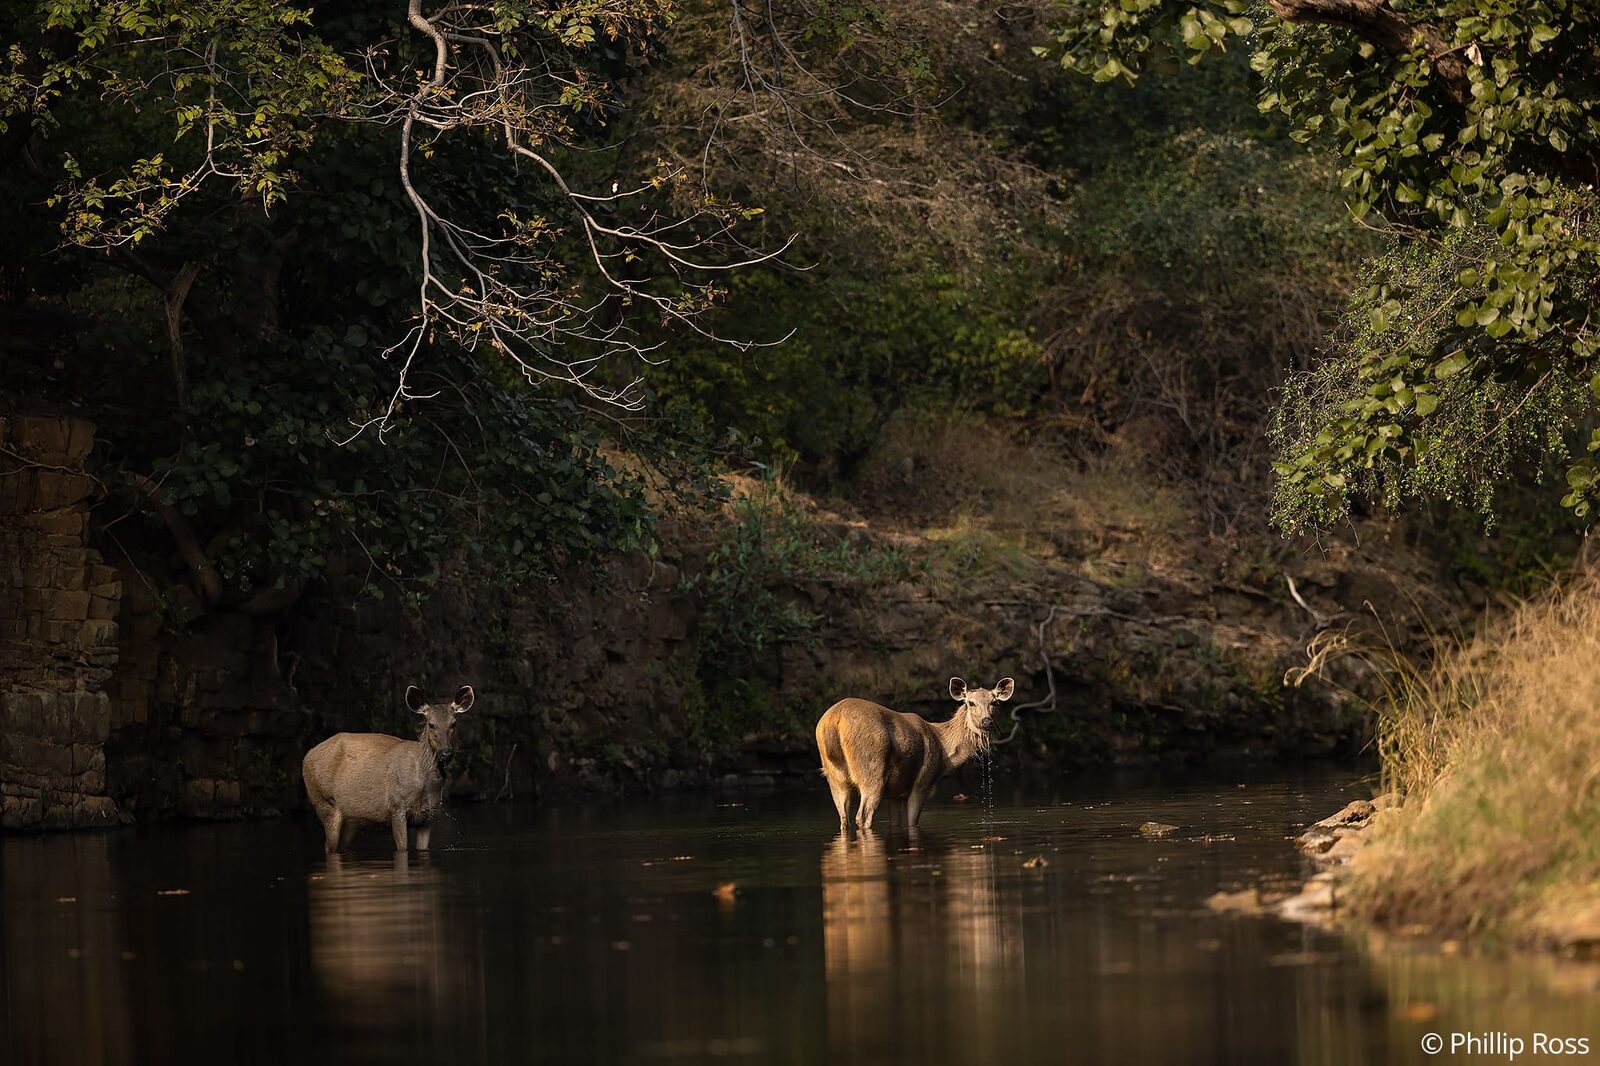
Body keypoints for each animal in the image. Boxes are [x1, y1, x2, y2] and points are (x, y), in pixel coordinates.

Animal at [302, 684, 473, 853]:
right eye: (431, 725)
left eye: (454, 723)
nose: (446, 753)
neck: (424, 783)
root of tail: (306, 756)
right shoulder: (396, 806)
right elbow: (402, 848)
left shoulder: (430, 815)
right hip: (325, 801)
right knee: (328, 846)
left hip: (351, 820)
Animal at [816, 676, 1014, 830]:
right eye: (970, 703)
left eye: (995, 702)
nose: (986, 721)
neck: (944, 754)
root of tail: (834, 721)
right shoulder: (922, 783)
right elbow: (913, 823)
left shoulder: (895, 794)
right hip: (872, 767)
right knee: (863, 816)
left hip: (834, 776)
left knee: (843, 818)